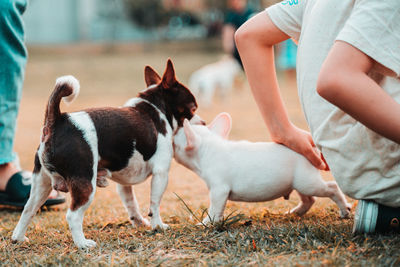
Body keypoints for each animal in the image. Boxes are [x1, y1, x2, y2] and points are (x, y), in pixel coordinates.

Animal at [12, 59, 200, 249]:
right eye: (193, 109)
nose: (203, 121)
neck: (156, 108)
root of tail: (57, 120)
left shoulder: (124, 182)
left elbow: (131, 203)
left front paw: (139, 222)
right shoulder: (161, 173)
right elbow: (154, 204)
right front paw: (158, 226)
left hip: (41, 183)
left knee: (28, 209)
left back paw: (18, 238)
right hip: (85, 183)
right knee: (73, 215)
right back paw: (82, 243)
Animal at [173, 112, 352, 225]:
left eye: (174, 143)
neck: (208, 148)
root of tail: (312, 147)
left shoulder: (219, 190)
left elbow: (215, 208)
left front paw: (206, 223)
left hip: (308, 183)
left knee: (332, 187)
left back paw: (344, 210)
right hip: (299, 183)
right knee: (309, 199)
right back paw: (295, 212)